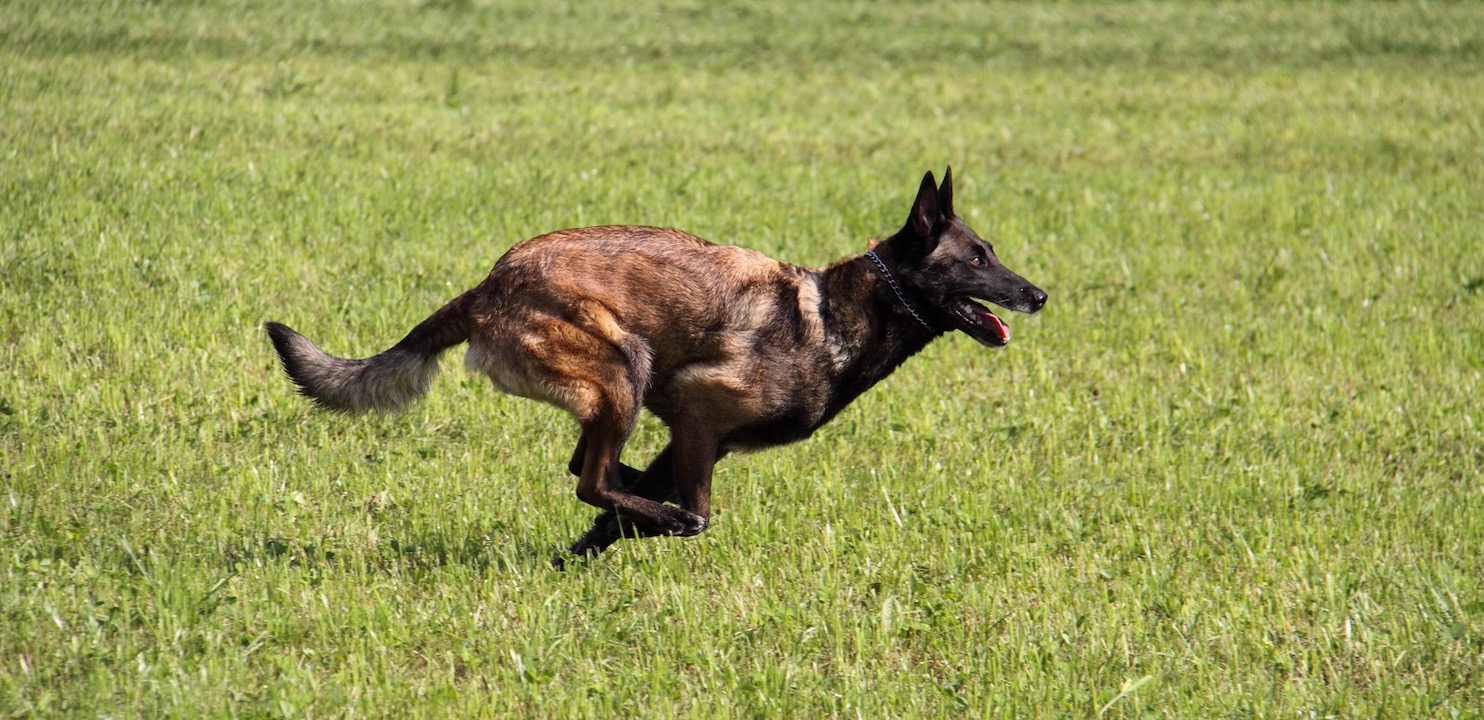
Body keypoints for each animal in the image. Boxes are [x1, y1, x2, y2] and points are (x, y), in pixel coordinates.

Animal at [270, 167, 1056, 561]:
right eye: (977, 260)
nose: (1041, 295)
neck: (842, 314)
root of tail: (489, 285)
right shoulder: (697, 409)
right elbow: (694, 511)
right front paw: (660, 524)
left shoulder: (694, 437)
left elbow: (628, 508)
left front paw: (582, 554)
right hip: (627, 366)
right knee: (590, 480)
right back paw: (652, 514)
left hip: (617, 385)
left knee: (592, 473)